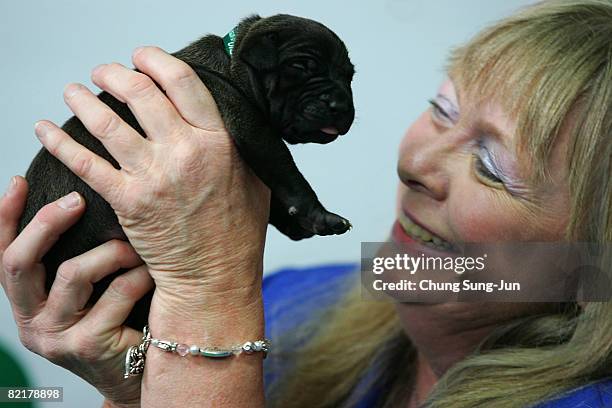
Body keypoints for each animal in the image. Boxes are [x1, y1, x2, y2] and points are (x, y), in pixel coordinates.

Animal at [19, 14, 356, 330]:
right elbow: (285, 168)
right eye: (303, 66)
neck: (232, 64)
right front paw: (317, 214)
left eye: (349, 77)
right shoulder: (250, 124)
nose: (342, 107)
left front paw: (296, 221)